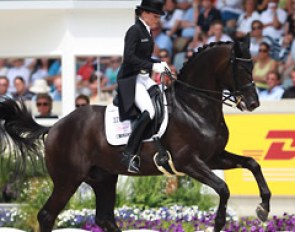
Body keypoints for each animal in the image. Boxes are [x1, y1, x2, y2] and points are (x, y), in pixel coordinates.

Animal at [0, 37, 272, 231]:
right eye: (241, 68)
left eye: (253, 66)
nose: (253, 103)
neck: (194, 105)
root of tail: (55, 127)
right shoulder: (188, 162)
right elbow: (223, 188)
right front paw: (220, 222)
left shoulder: (213, 157)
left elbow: (252, 163)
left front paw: (263, 208)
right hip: (68, 179)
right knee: (47, 215)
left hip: (103, 178)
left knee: (105, 218)